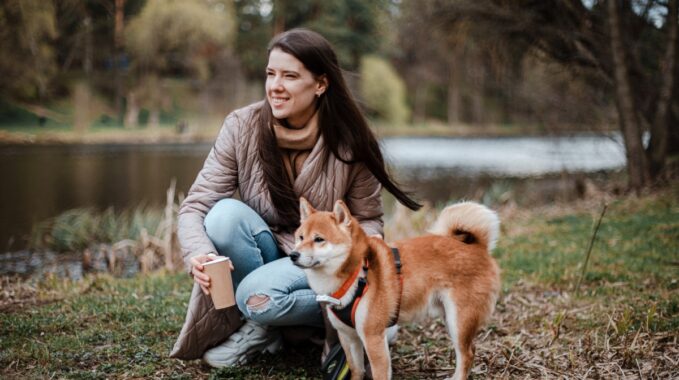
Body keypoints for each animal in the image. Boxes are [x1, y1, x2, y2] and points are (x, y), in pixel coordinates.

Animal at [290, 199, 502, 380]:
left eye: (319, 239)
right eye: (300, 237)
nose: (293, 254)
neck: (356, 275)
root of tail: (478, 247)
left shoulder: (373, 337)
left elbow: (378, 374)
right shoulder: (348, 337)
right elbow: (356, 370)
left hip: (459, 321)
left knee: (467, 353)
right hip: (449, 318)